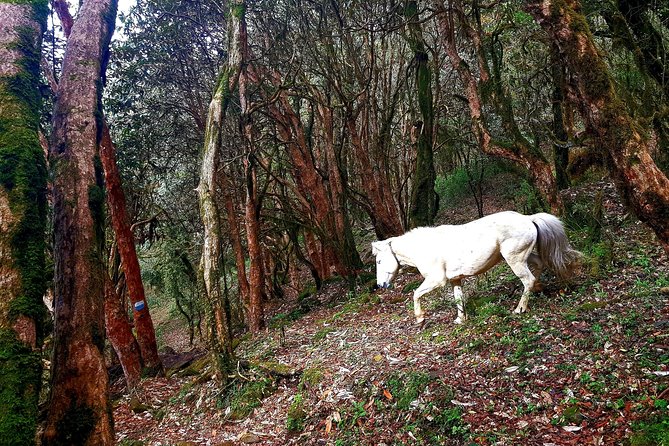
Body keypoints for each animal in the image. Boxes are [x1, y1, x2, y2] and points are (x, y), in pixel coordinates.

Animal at [370, 211, 580, 326]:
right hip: (523, 256)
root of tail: (528, 219)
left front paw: (420, 318)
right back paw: (538, 288)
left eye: (379, 261)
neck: (425, 248)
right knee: (538, 266)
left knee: (527, 279)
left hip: (514, 259)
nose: (381, 285)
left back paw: (520, 308)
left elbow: (416, 294)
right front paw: (460, 319)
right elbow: (458, 298)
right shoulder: (455, 279)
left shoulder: (437, 280)